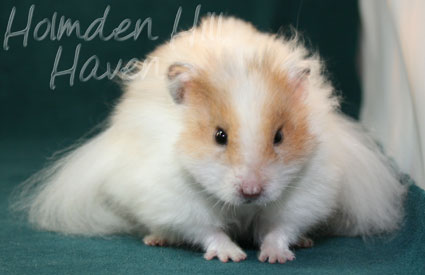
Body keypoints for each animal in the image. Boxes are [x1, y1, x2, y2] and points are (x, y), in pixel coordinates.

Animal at [11, 16, 406, 264]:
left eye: (280, 136)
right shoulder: (176, 199)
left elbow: (281, 228)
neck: (242, 209)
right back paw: (157, 238)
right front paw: (232, 255)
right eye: (219, 136)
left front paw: (274, 256)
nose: (251, 191)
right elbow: (207, 230)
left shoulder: (306, 192)